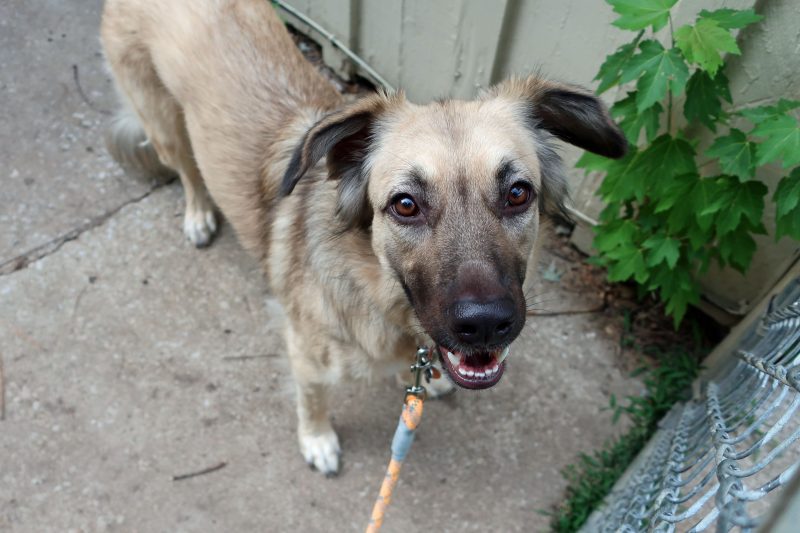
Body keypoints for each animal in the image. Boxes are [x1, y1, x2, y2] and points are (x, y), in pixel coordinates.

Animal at [98, 0, 624, 474]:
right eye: (405, 205)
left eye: (518, 193)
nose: (485, 325)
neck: (378, 293)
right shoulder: (306, 354)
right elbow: (312, 399)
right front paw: (317, 440)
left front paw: (432, 377)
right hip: (162, 121)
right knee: (186, 168)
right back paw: (198, 215)